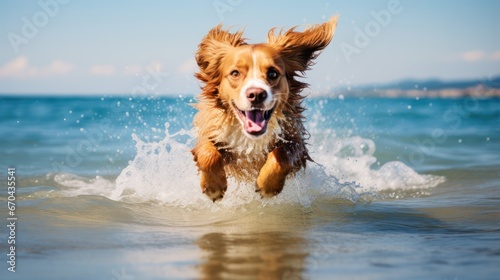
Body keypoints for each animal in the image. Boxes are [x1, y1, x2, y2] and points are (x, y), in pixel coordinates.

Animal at [191, 15, 340, 201]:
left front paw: (268, 184)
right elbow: (208, 153)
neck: (251, 138)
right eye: (235, 73)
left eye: (272, 73)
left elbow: (283, 154)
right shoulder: (211, 130)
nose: (256, 94)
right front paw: (213, 186)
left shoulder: (296, 141)